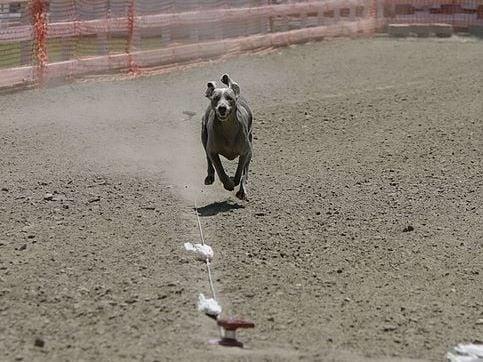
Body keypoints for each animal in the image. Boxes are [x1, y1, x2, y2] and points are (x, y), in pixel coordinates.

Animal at [201, 73, 253, 201]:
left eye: (230, 98)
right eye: (215, 98)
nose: (222, 108)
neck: (227, 129)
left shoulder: (245, 151)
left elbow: (240, 170)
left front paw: (236, 182)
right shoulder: (212, 151)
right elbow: (220, 170)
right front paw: (228, 184)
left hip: (250, 146)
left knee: (246, 171)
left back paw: (242, 190)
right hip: (204, 135)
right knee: (208, 159)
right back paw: (210, 177)